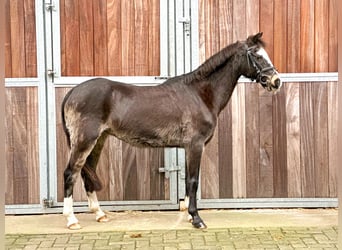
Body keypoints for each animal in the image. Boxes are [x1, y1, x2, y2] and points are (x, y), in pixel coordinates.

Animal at [60, 32, 280, 229]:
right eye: (257, 56)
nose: (276, 81)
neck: (199, 94)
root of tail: (73, 92)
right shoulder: (195, 146)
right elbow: (193, 181)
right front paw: (197, 219)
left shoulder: (189, 148)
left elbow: (189, 181)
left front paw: (190, 216)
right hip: (84, 140)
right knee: (71, 173)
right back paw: (72, 220)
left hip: (98, 141)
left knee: (87, 173)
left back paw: (99, 214)